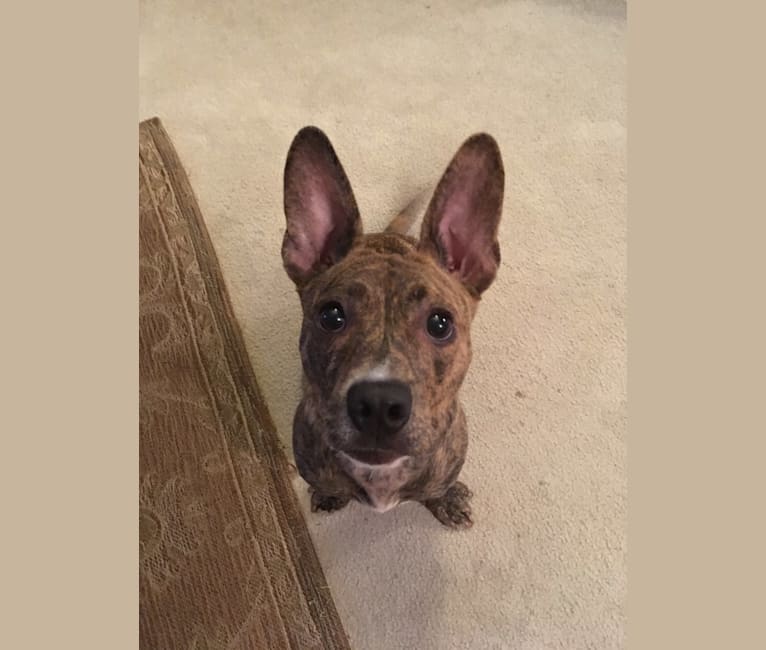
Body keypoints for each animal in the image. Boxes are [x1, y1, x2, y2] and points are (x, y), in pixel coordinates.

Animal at [280, 125, 504, 528]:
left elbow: (439, 489)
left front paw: (447, 501)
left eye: (440, 323)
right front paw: (329, 494)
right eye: (331, 316)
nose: (379, 403)